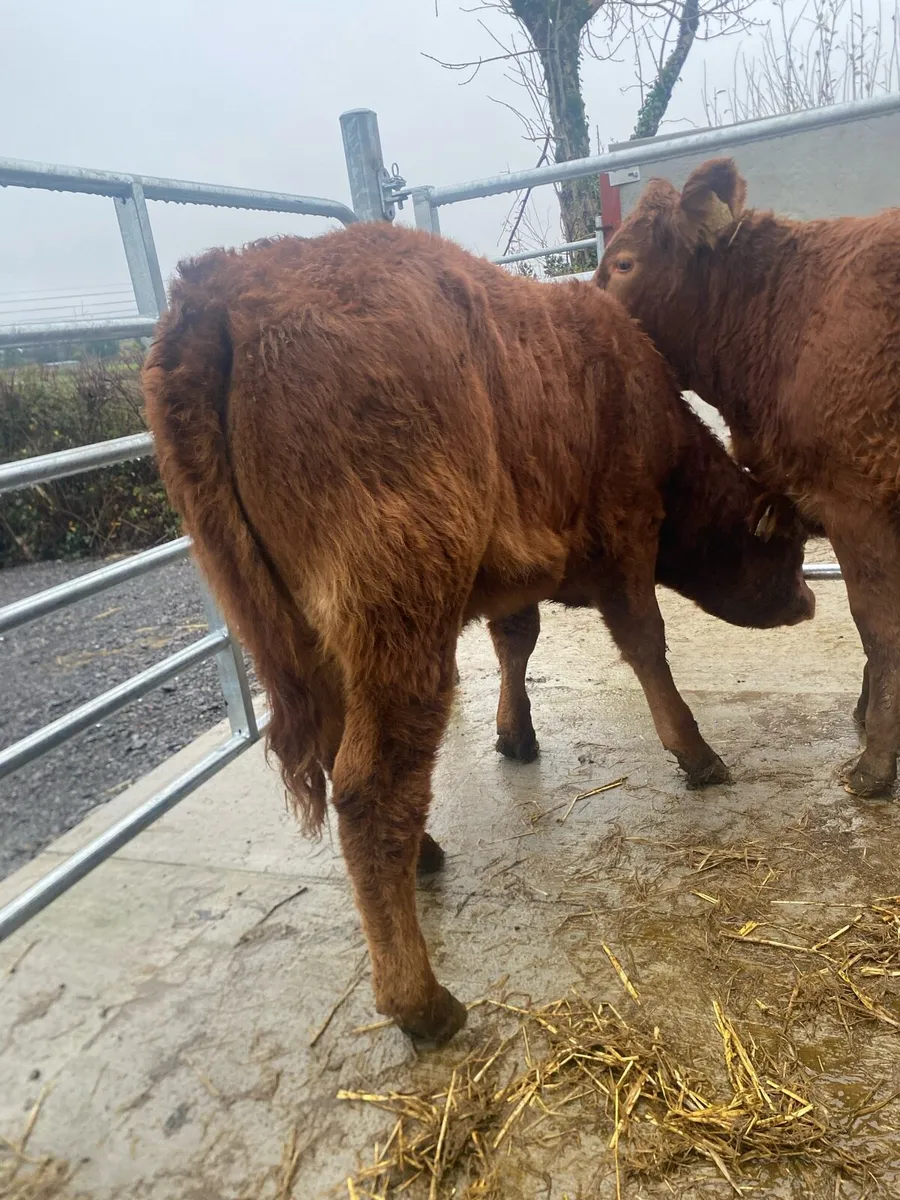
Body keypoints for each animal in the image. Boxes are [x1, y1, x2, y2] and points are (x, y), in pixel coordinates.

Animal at [143, 222, 812, 1045]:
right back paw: (422, 1002)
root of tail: (221, 284)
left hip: (300, 637)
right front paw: (696, 752)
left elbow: (515, 641)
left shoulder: (512, 576)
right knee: (370, 787)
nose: (809, 600)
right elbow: (645, 642)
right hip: (400, 620)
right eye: (789, 549)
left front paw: (515, 734)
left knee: (336, 751)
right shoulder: (627, 530)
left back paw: (426, 857)